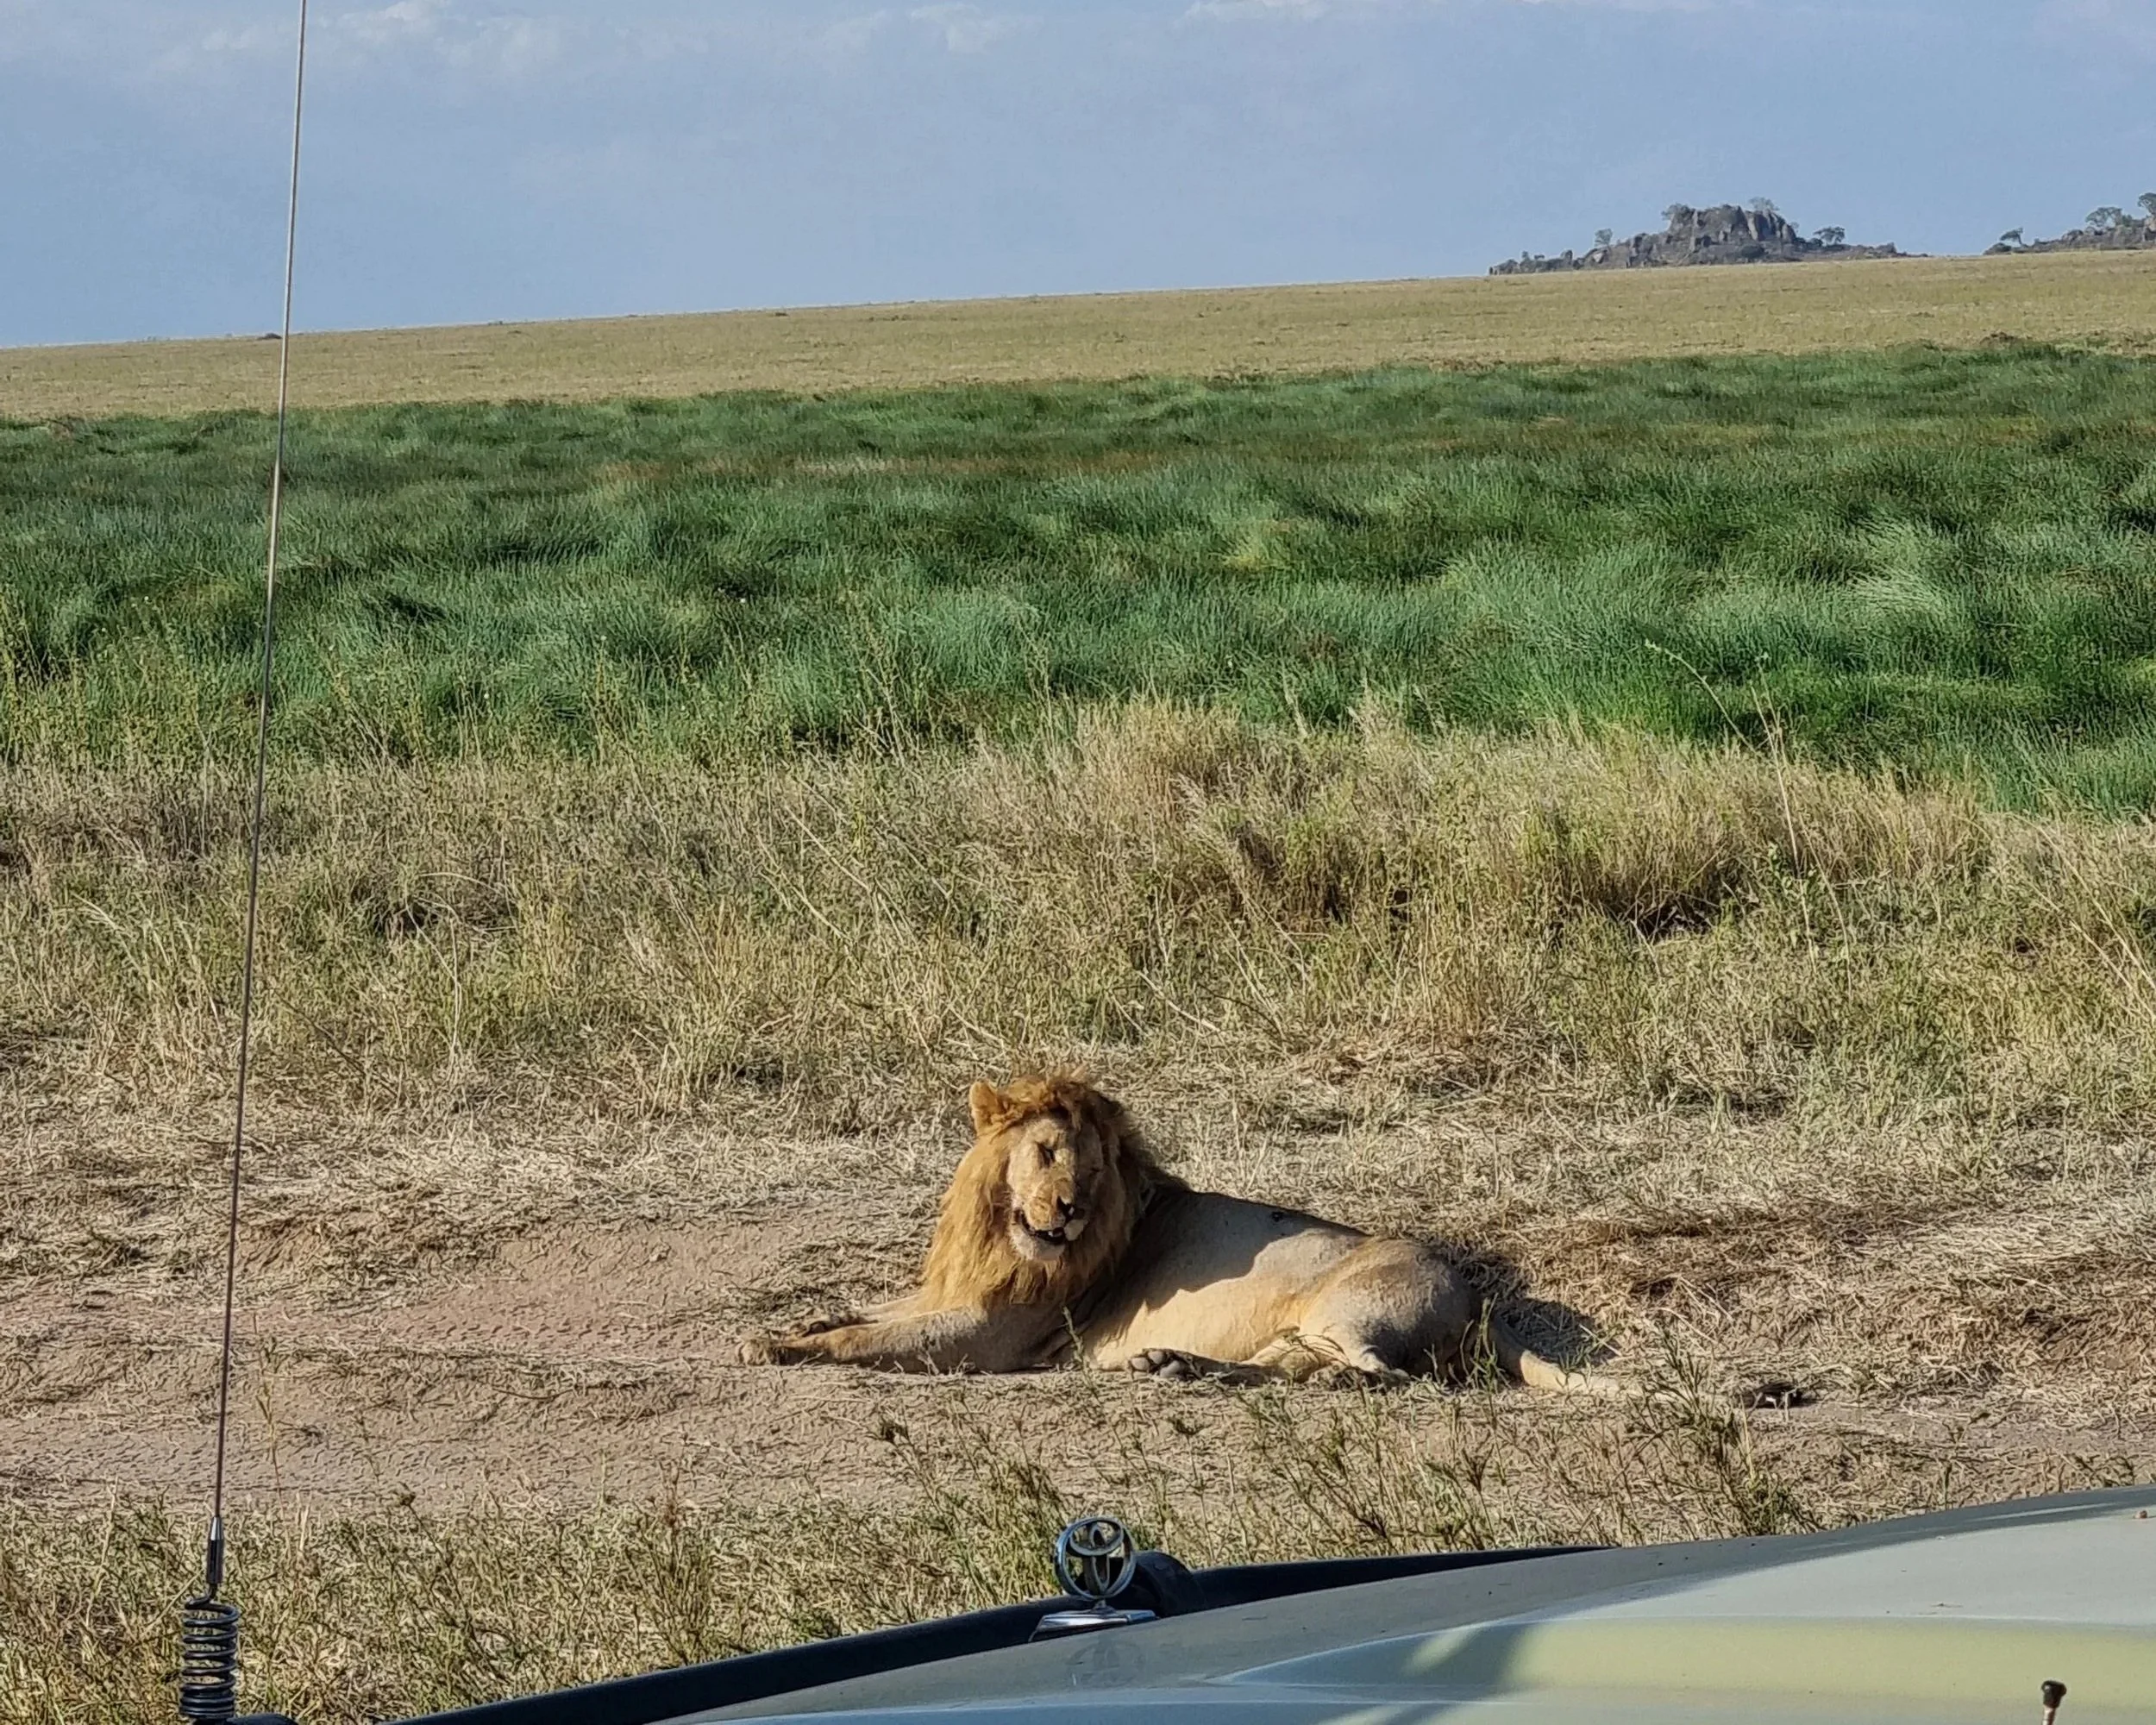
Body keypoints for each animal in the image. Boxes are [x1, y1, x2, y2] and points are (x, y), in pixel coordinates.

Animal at [741, 1076, 1615, 1392]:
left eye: (1095, 1170)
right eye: (1047, 1152)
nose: (1068, 1211)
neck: (997, 1234)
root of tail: (1478, 1297)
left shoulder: (992, 1333)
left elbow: (870, 1338)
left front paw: (782, 1347)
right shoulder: (953, 1291)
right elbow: (872, 1311)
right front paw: (796, 1322)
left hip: (1349, 1309)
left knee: (1379, 1375)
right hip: (1303, 1328)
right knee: (1286, 1366)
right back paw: (1175, 1365)